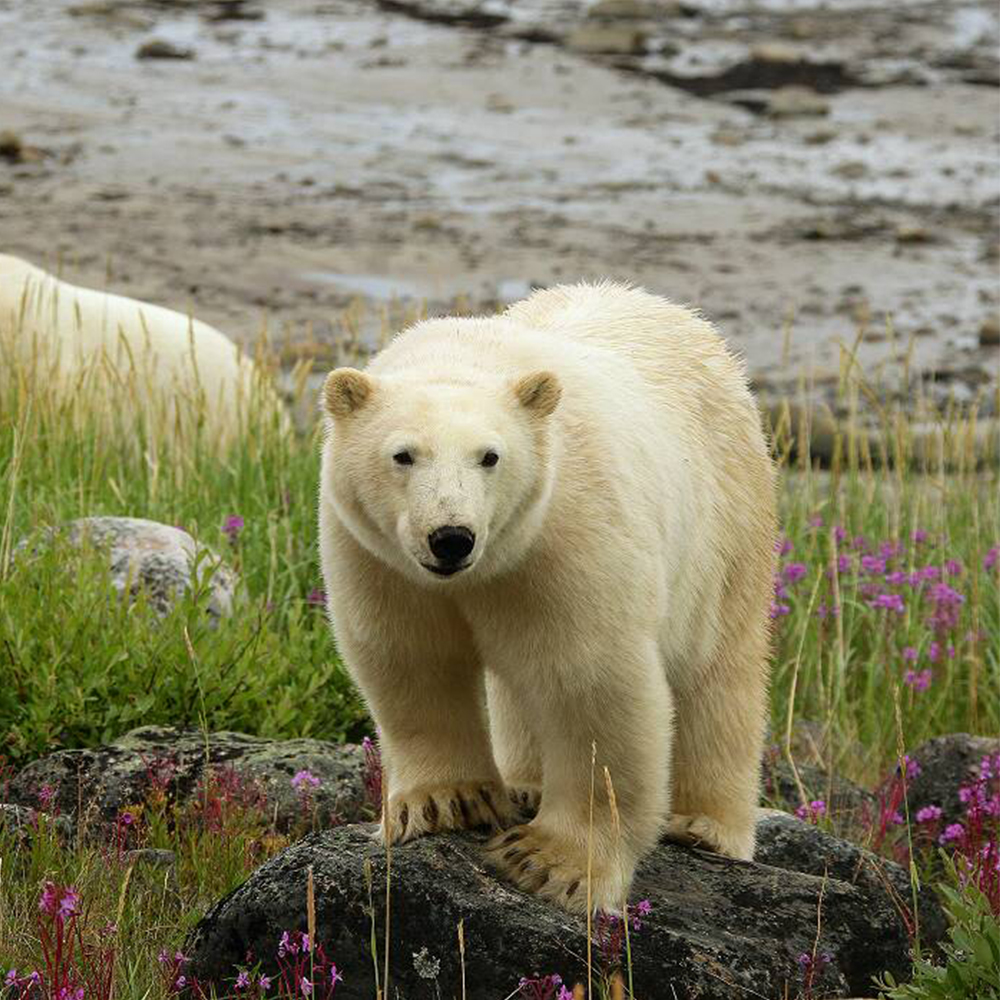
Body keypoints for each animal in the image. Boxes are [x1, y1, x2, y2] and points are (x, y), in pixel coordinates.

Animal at [318, 281, 776, 913]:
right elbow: (410, 656)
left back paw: (705, 826)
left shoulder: (566, 532)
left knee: (720, 673)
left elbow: (588, 680)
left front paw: (550, 863)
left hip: (726, 527)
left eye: (490, 456)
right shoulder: (377, 555)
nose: (451, 537)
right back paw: (528, 785)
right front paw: (445, 802)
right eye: (403, 454)